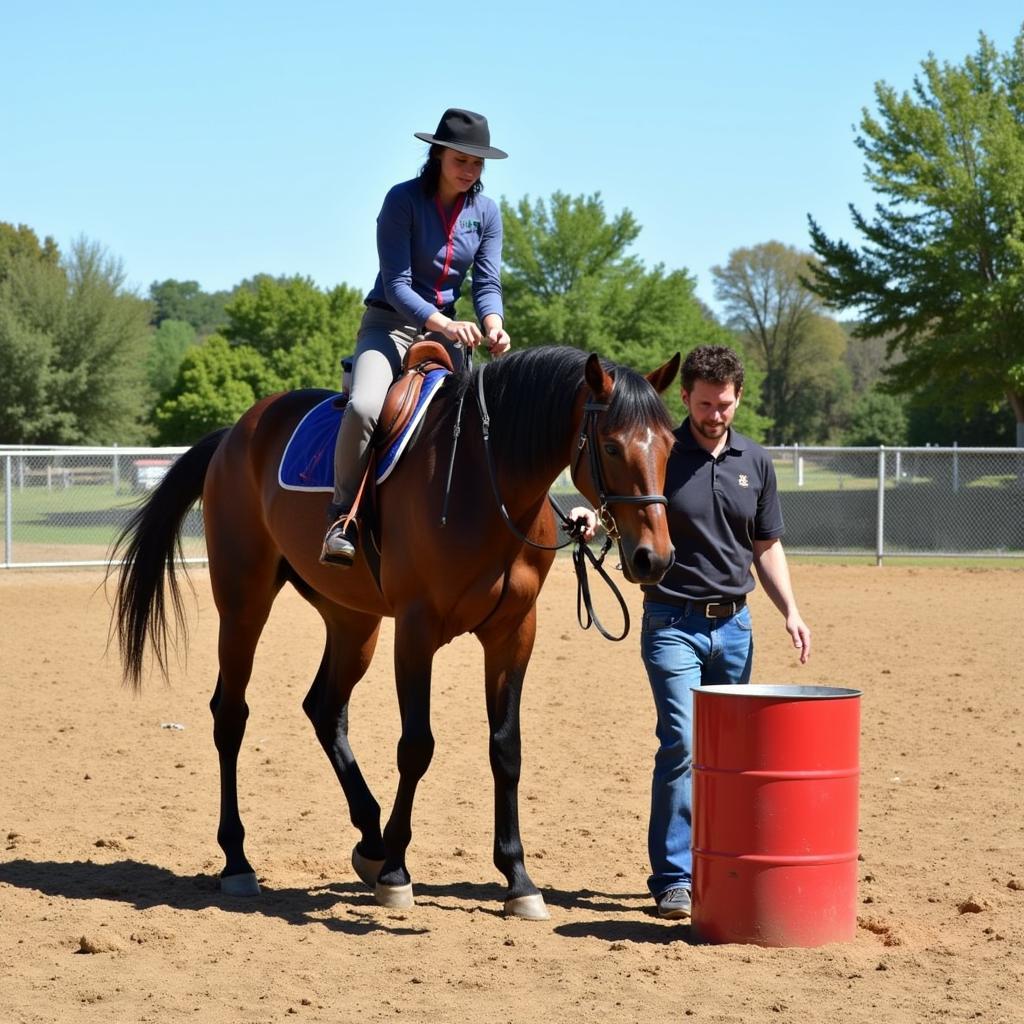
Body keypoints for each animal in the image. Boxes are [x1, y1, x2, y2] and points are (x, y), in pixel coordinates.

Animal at [114, 344, 679, 921]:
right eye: (610, 445)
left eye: (671, 445)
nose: (653, 558)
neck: (485, 476)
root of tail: (236, 432)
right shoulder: (416, 630)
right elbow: (416, 745)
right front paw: (397, 875)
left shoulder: (514, 633)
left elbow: (506, 749)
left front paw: (518, 879)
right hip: (243, 604)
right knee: (230, 716)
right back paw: (239, 861)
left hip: (352, 622)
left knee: (324, 709)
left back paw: (371, 838)